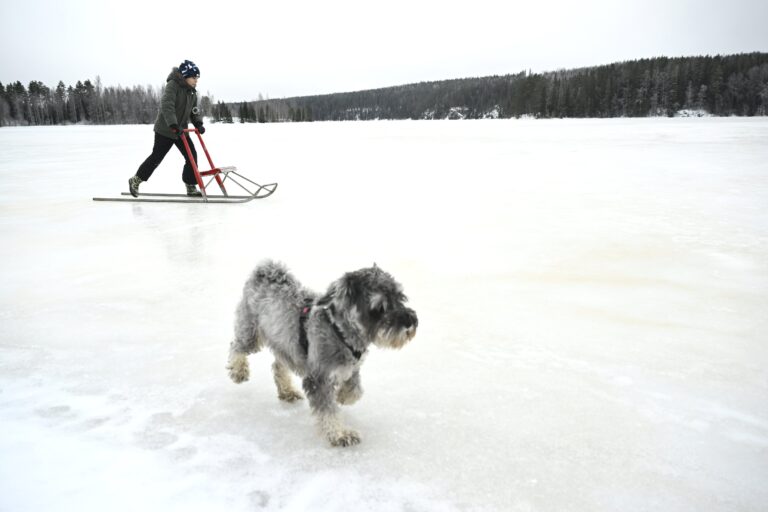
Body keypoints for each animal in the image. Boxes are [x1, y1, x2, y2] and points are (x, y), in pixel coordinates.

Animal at [226, 262, 420, 446]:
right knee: (236, 347)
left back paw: (287, 391)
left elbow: (356, 390)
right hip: (250, 333)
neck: (340, 331)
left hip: (287, 346)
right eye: (379, 307)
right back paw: (238, 371)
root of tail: (265, 270)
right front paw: (341, 434)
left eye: (400, 297)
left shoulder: (352, 367)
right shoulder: (318, 378)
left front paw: (343, 397)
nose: (410, 322)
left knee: (278, 365)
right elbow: (328, 410)